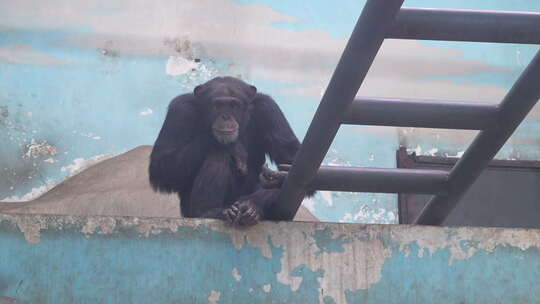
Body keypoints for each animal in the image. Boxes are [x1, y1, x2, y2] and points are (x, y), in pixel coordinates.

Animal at [149, 76, 308, 226]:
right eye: (218, 105)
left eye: (233, 105)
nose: (225, 117)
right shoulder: (180, 110)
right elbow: (162, 165)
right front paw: (232, 145)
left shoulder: (269, 109)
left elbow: (292, 161)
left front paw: (256, 200)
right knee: (218, 153)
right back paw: (209, 211)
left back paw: (253, 209)